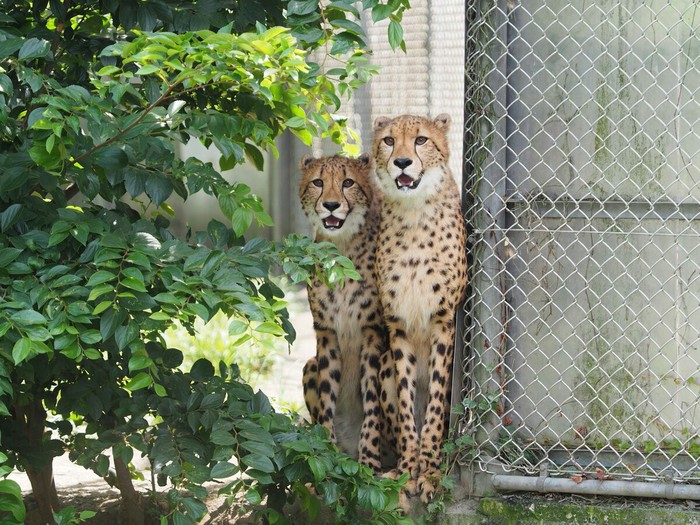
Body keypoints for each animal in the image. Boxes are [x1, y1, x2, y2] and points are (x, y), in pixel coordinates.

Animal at [296, 152, 386, 470]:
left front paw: (369, 461)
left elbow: (372, 399)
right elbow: (327, 395)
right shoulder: (326, 332)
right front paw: (326, 452)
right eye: (318, 182)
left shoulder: (373, 332)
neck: (342, 250)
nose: (332, 205)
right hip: (309, 364)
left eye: (348, 182)